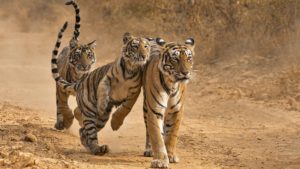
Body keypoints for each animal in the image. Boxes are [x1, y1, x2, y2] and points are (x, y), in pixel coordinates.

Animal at [52, 0, 96, 131]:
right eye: (78, 55)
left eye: (89, 55)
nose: (85, 66)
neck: (77, 76)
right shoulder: (61, 89)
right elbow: (63, 106)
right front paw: (67, 121)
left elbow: (79, 110)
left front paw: (80, 119)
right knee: (59, 106)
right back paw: (60, 123)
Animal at [110, 37, 195, 168]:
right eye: (175, 59)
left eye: (189, 58)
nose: (186, 73)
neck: (171, 84)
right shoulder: (155, 110)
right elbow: (157, 136)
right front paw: (160, 160)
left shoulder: (176, 111)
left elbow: (172, 134)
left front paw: (170, 155)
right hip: (146, 106)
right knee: (149, 131)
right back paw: (149, 150)